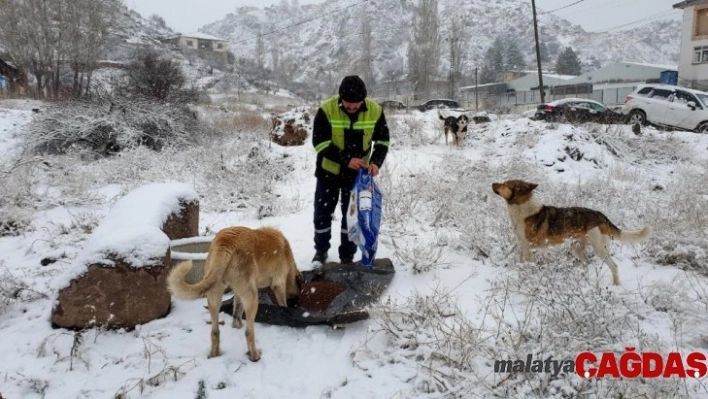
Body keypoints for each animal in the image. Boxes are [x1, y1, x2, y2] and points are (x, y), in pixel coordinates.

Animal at [168, 228, 302, 362]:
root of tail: (225, 243)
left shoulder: (238, 293)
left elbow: (236, 312)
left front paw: (237, 325)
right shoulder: (278, 285)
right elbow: (282, 303)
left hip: (214, 296)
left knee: (215, 331)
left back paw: (215, 354)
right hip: (252, 297)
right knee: (249, 332)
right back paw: (254, 355)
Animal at [492, 180, 652, 286]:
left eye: (505, 184)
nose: (492, 183)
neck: (522, 209)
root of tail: (602, 216)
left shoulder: (527, 248)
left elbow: (526, 268)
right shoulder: (522, 247)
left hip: (600, 249)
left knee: (614, 266)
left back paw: (616, 285)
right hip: (577, 248)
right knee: (587, 264)